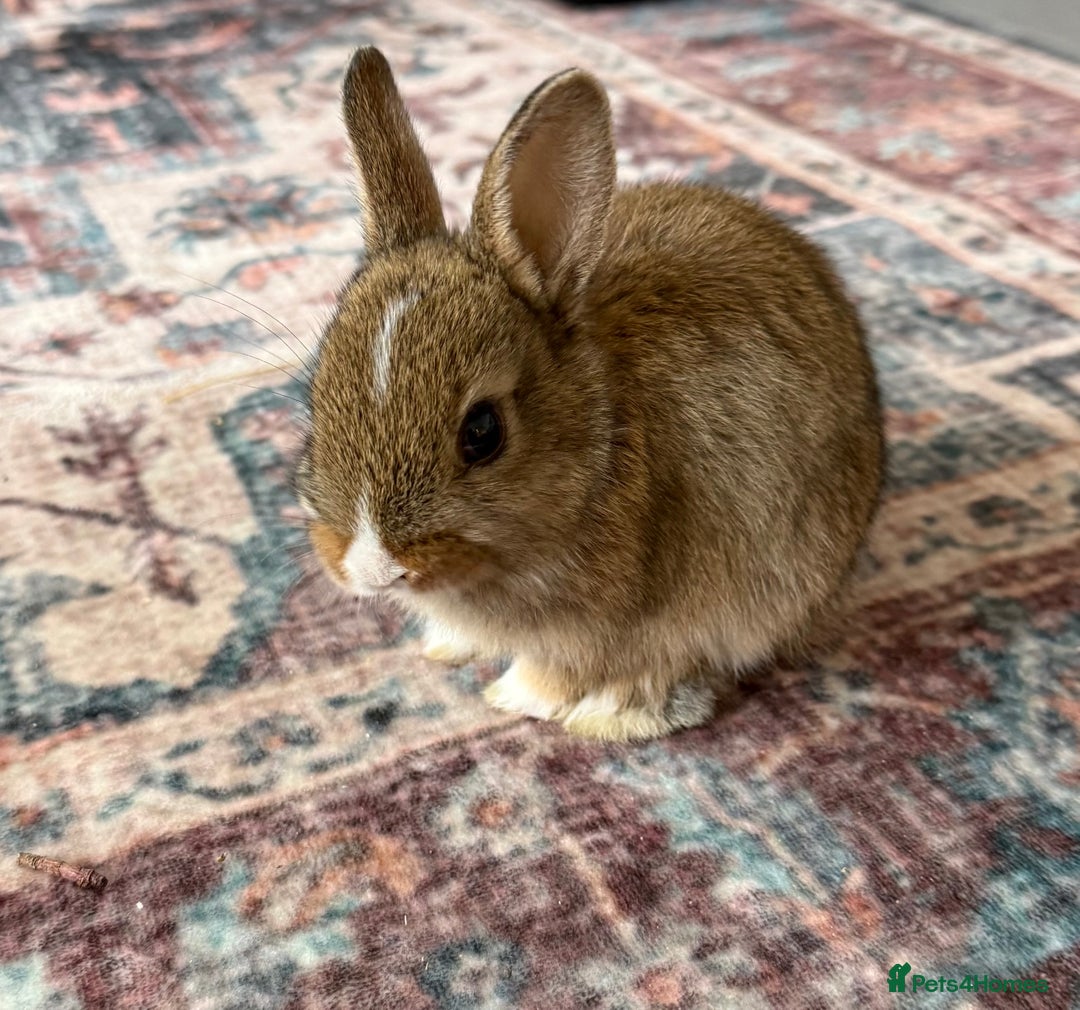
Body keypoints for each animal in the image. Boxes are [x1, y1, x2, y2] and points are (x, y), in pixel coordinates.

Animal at [294, 47, 884, 742]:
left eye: (483, 433)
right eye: (316, 403)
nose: (371, 568)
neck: (597, 450)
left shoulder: (613, 626)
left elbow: (574, 670)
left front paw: (521, 699)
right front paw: (446, 646)